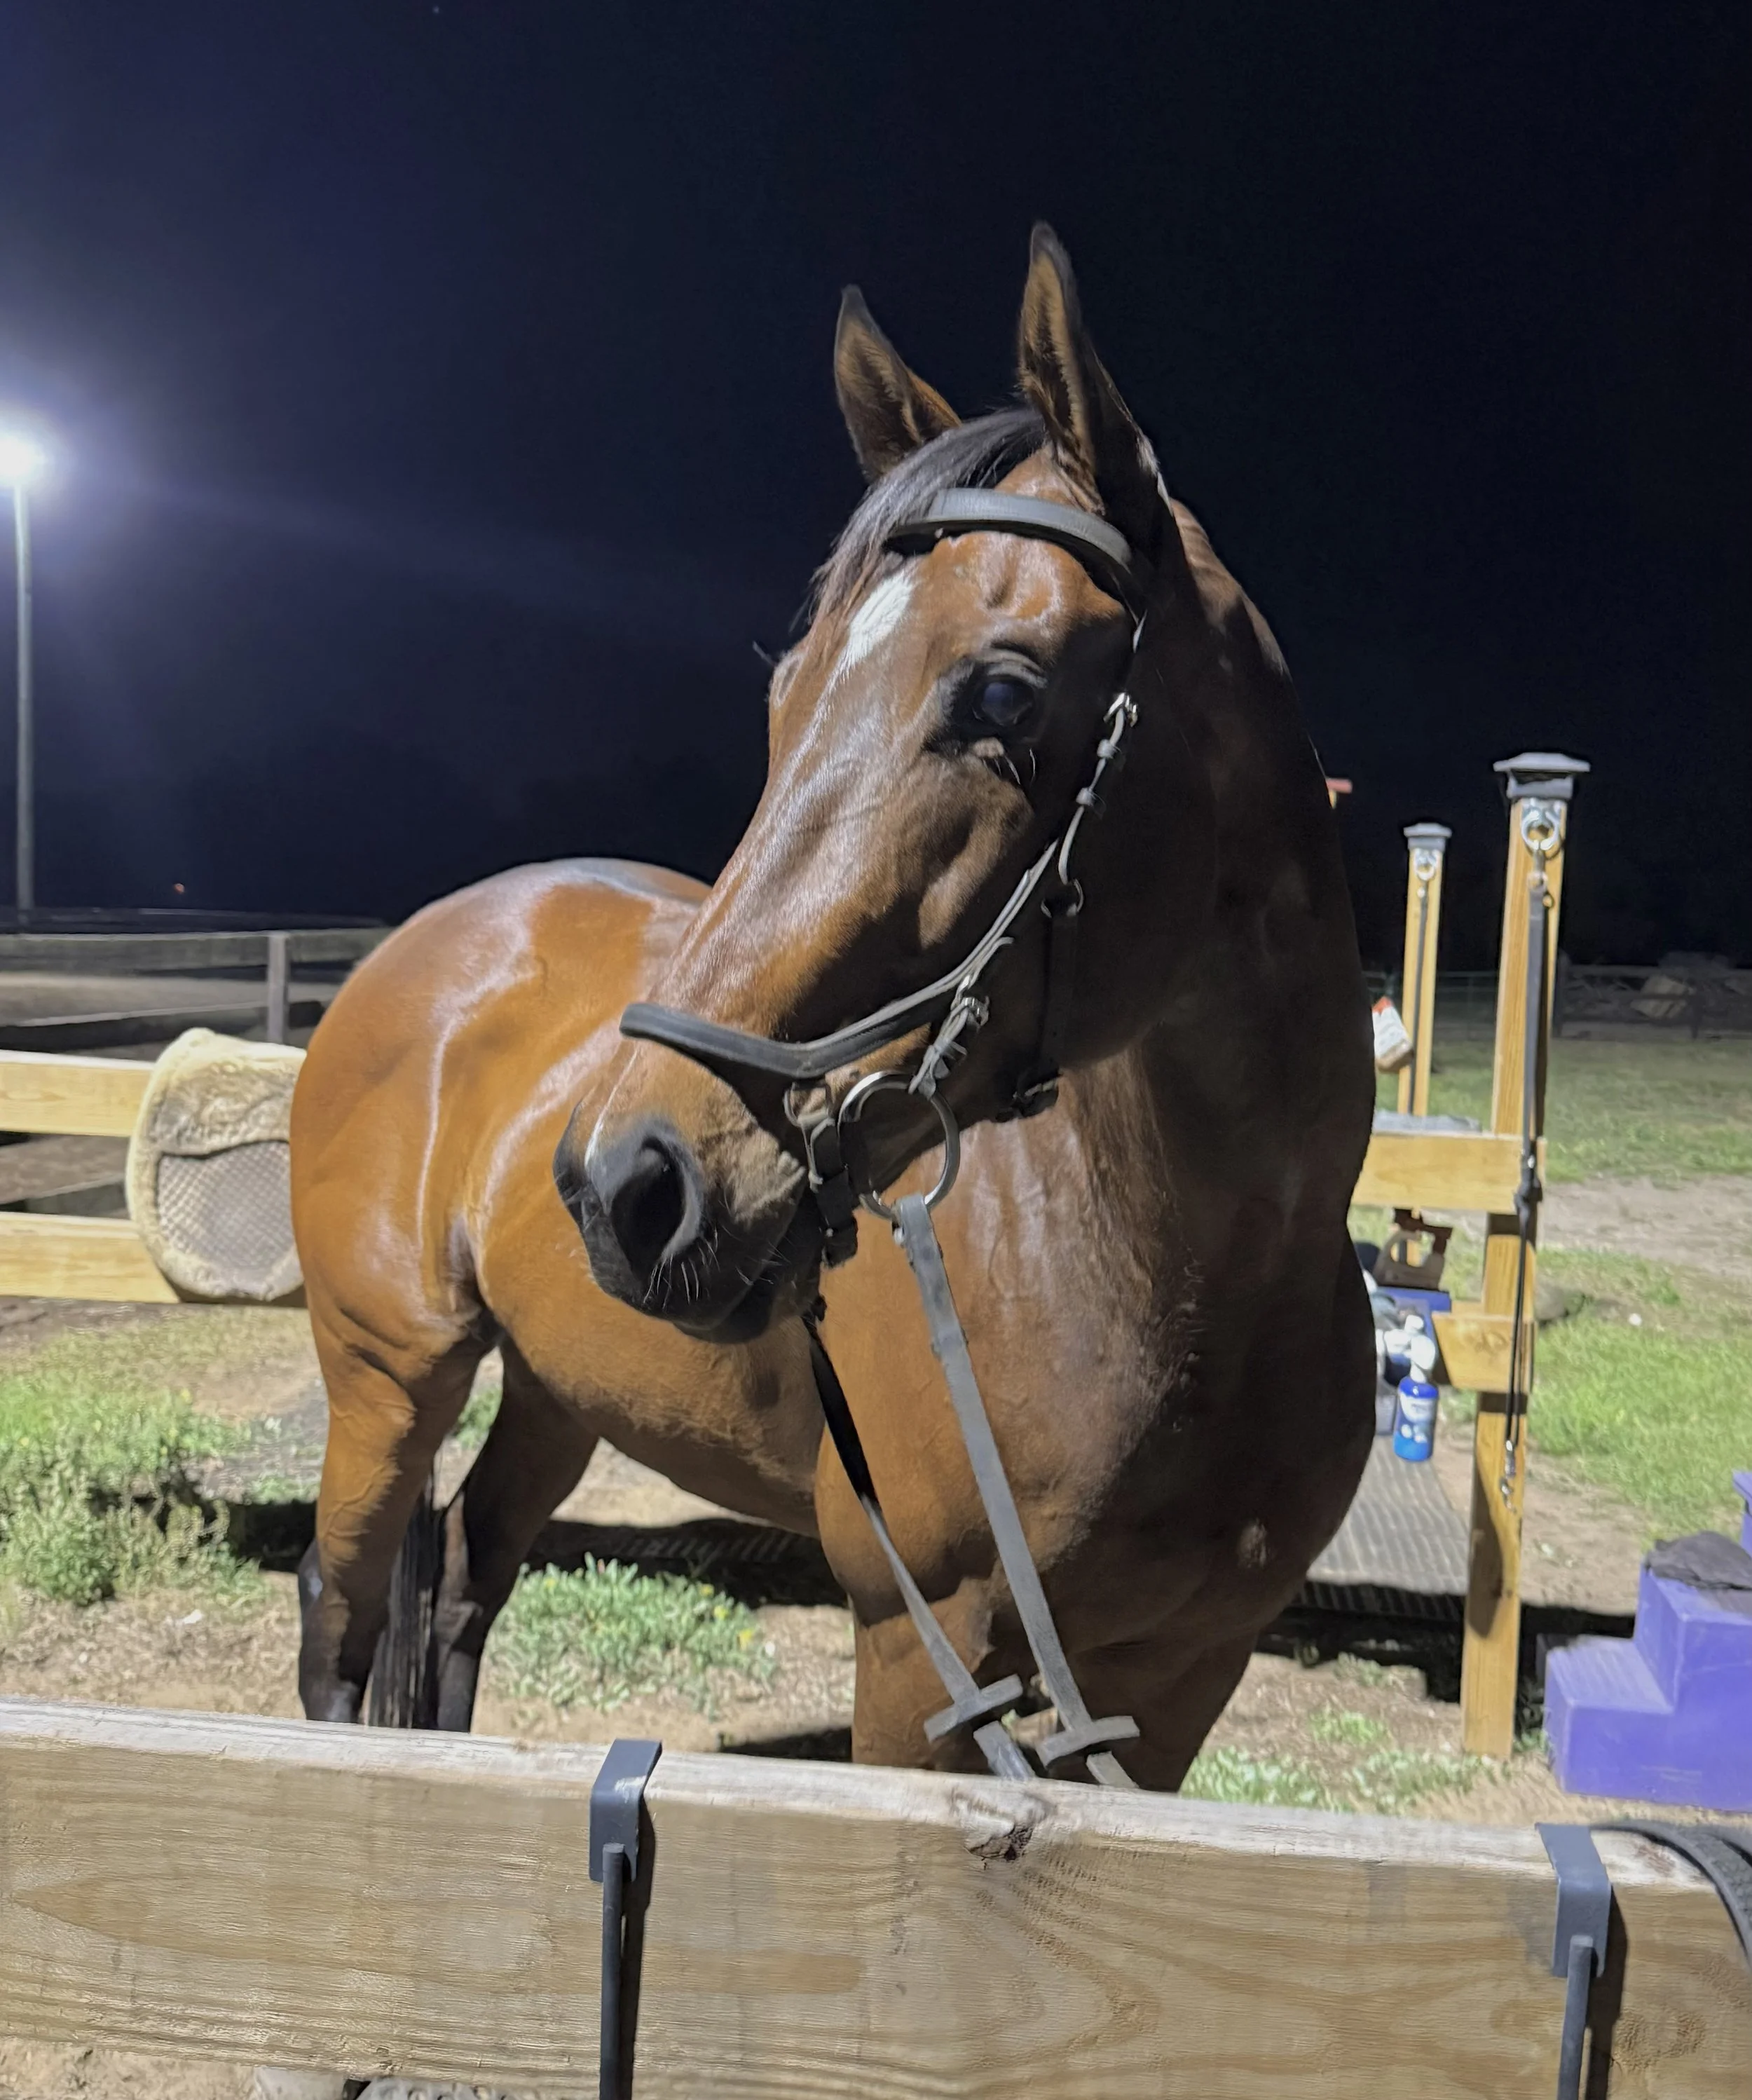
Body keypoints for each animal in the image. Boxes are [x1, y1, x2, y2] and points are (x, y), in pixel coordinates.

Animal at [291, 226, 1375, 1788]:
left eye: (1002, 695)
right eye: (784, 698)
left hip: (555, 1392)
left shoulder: (1184, 1688)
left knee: (457, 1594)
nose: (627, 1180)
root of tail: (427, 940)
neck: (1187, 1295)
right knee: (342, 1617)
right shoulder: (919, 1665)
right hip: (387, 1378)